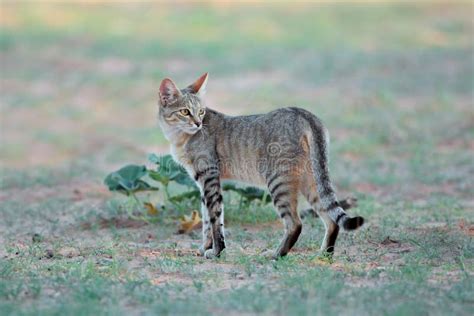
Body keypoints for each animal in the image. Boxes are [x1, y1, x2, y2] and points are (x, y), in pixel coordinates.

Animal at [157, 73, 364, 260]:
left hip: (278, 182)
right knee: (331, 220)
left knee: (296, 223)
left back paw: (276, 254)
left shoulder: (209, 178)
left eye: (201, 111)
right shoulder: (201, 182)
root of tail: (304, 114)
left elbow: (215, 219)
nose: (198, 123)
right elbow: (207, 220)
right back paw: (324, 255)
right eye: (185, 111)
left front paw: (217, 252)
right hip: (312, 183)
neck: (179, 138)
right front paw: (204, 248)